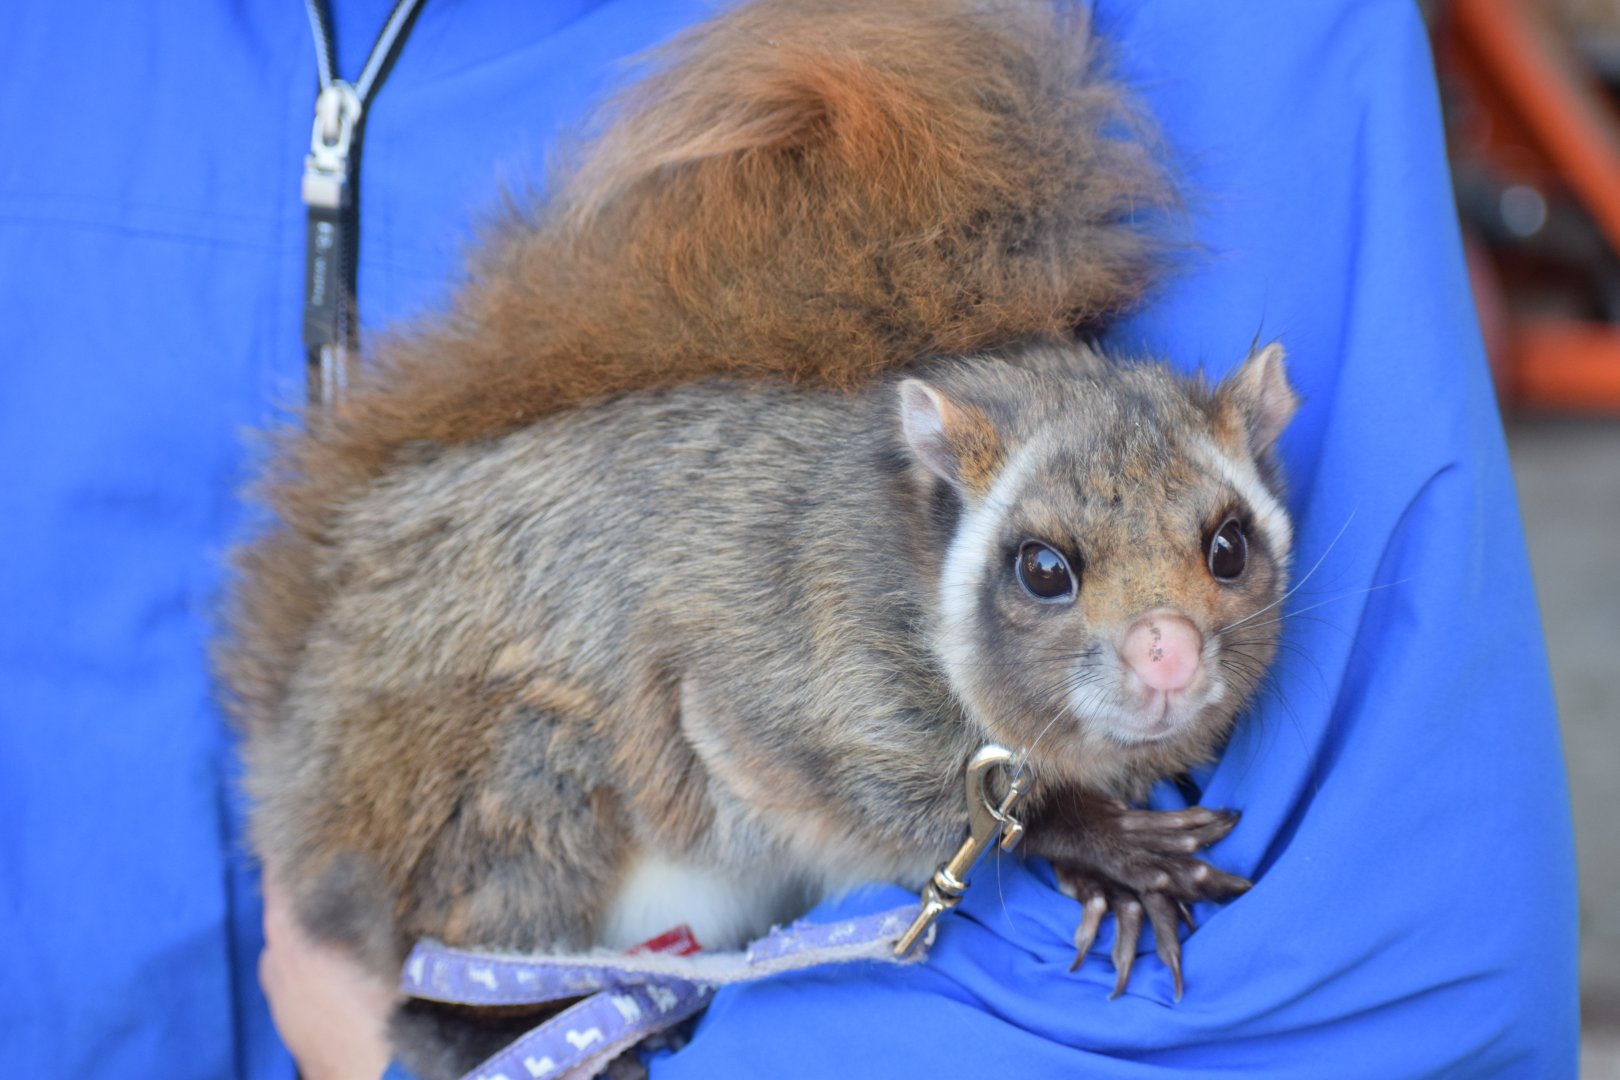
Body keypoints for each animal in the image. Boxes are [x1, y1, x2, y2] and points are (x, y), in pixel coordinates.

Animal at [220, 1, 1299, 1076]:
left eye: (1229, 546)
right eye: (1043, 568)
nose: (1167, 654)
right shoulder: (771, 667)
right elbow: (910, 804)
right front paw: (1100, 847)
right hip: (514, 800)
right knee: (447, 964)